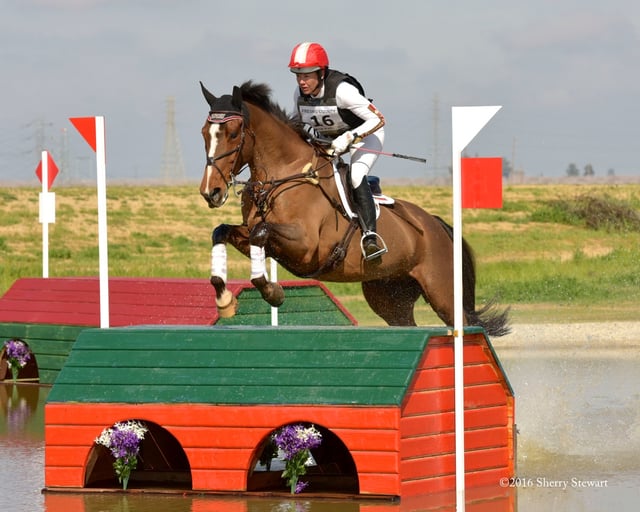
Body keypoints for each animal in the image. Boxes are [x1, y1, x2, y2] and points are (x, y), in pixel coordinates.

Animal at [198, 80, 510, 336]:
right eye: (205, 133)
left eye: (233, 132)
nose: (211, 192)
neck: (283, 176)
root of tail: (437, 225)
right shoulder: (255, 234)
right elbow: (223, 232)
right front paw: (224, 300)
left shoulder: (307, 247)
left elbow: (260, 233)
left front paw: (273, 293)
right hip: (388, 295)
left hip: (442, 292)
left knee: (462, 323)